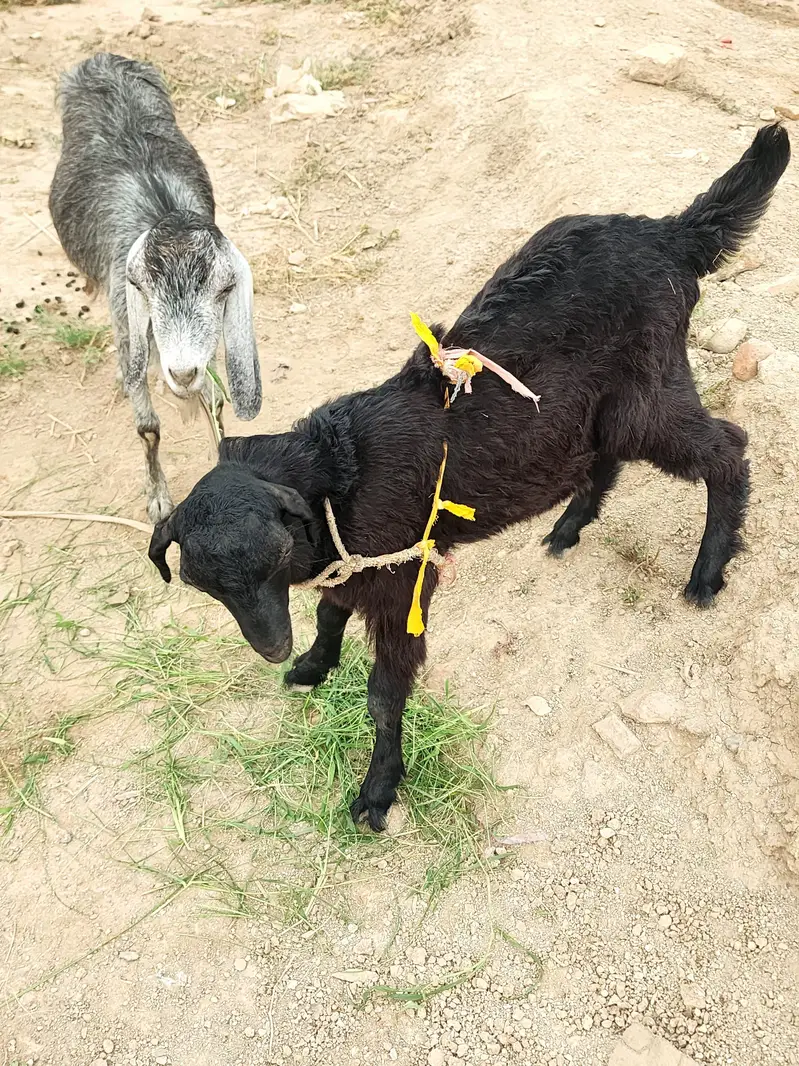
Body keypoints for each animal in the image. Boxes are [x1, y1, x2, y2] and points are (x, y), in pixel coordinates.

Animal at [48, 53, 262, 522]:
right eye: (142, 289)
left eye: (224, 290)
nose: (181, 373)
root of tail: (102, 60)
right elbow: (147, 427)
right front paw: (160, 499)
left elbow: (215, 406)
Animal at [148, 124, 790, 830]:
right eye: (203, 583)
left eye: (271, 555)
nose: (272, 649)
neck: (338, 472)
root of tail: (672, 234)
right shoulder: (357, 563)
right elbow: (328, 609)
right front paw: (314, 665)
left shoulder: (402, 576)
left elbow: (383, 690)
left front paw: (377, 791)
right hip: (601, 407)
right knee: (602, 456)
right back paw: (568, 527)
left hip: (647, 397)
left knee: (728, 448)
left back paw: (707, 571)